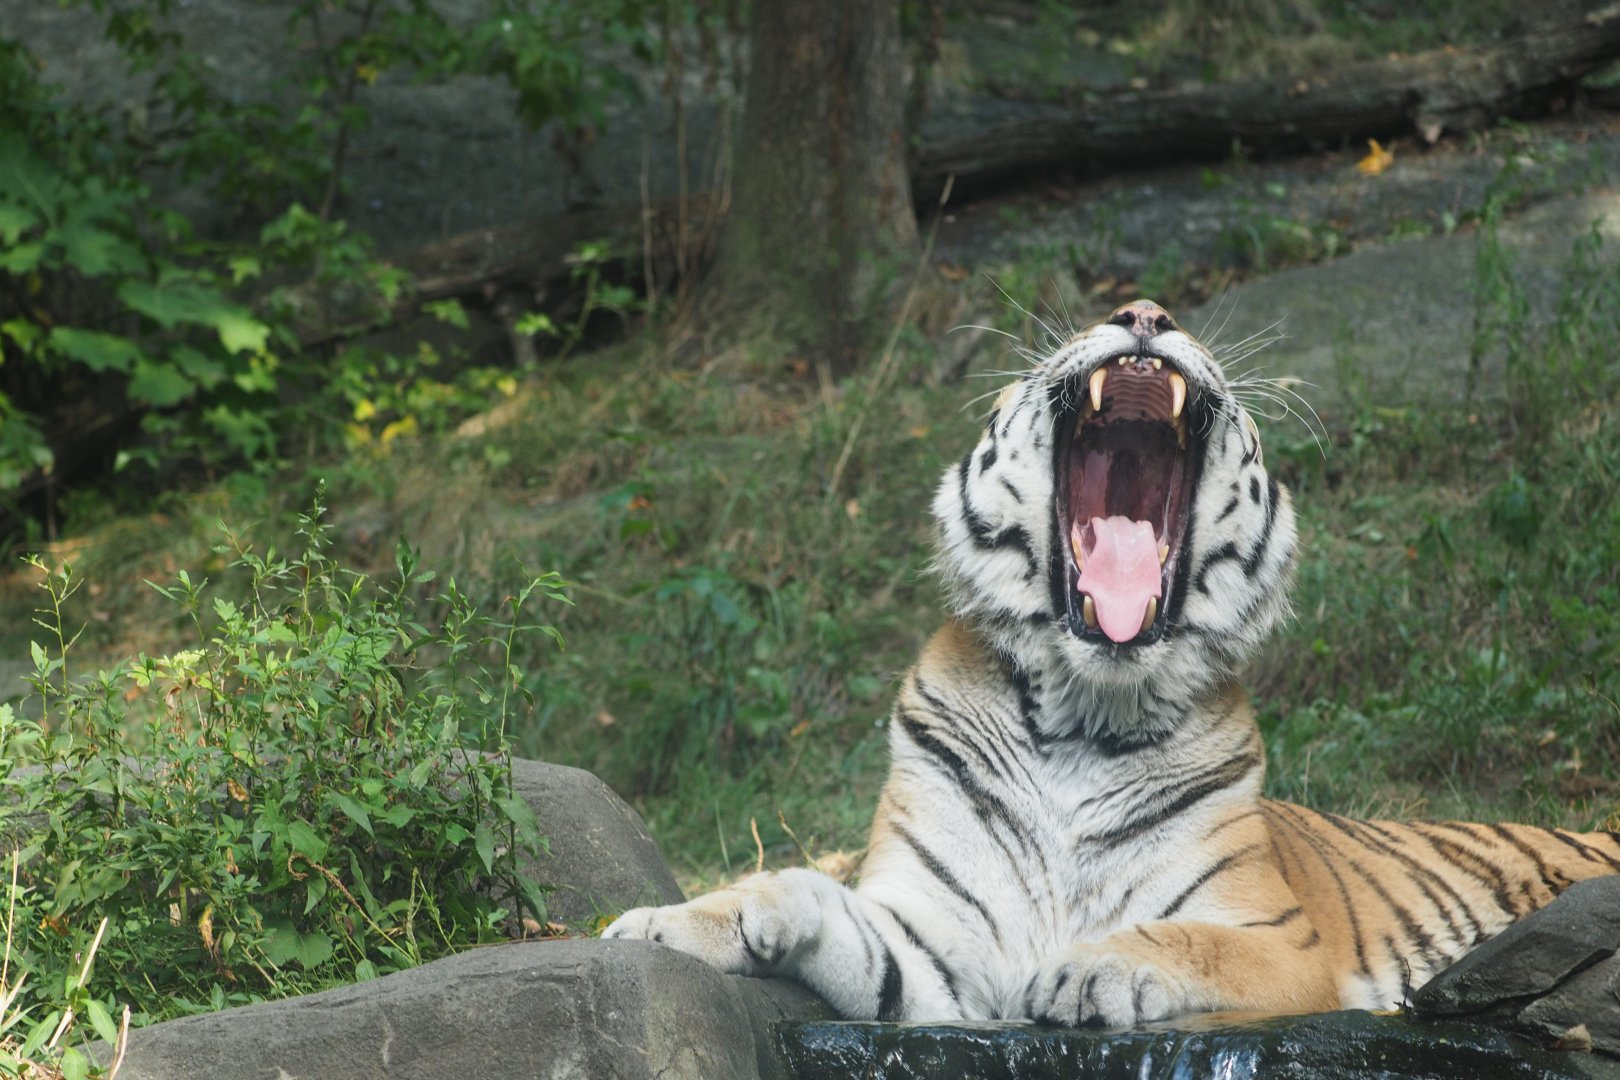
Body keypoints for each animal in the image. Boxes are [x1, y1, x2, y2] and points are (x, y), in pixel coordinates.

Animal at [604, 299, 1620, 1027]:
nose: (1145, 311)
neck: (1080, 715)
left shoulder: (1285, 944)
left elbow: (1187, 940)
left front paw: (1087, 971)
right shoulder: (935, 954)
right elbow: (813, 896)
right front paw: (668, 925)